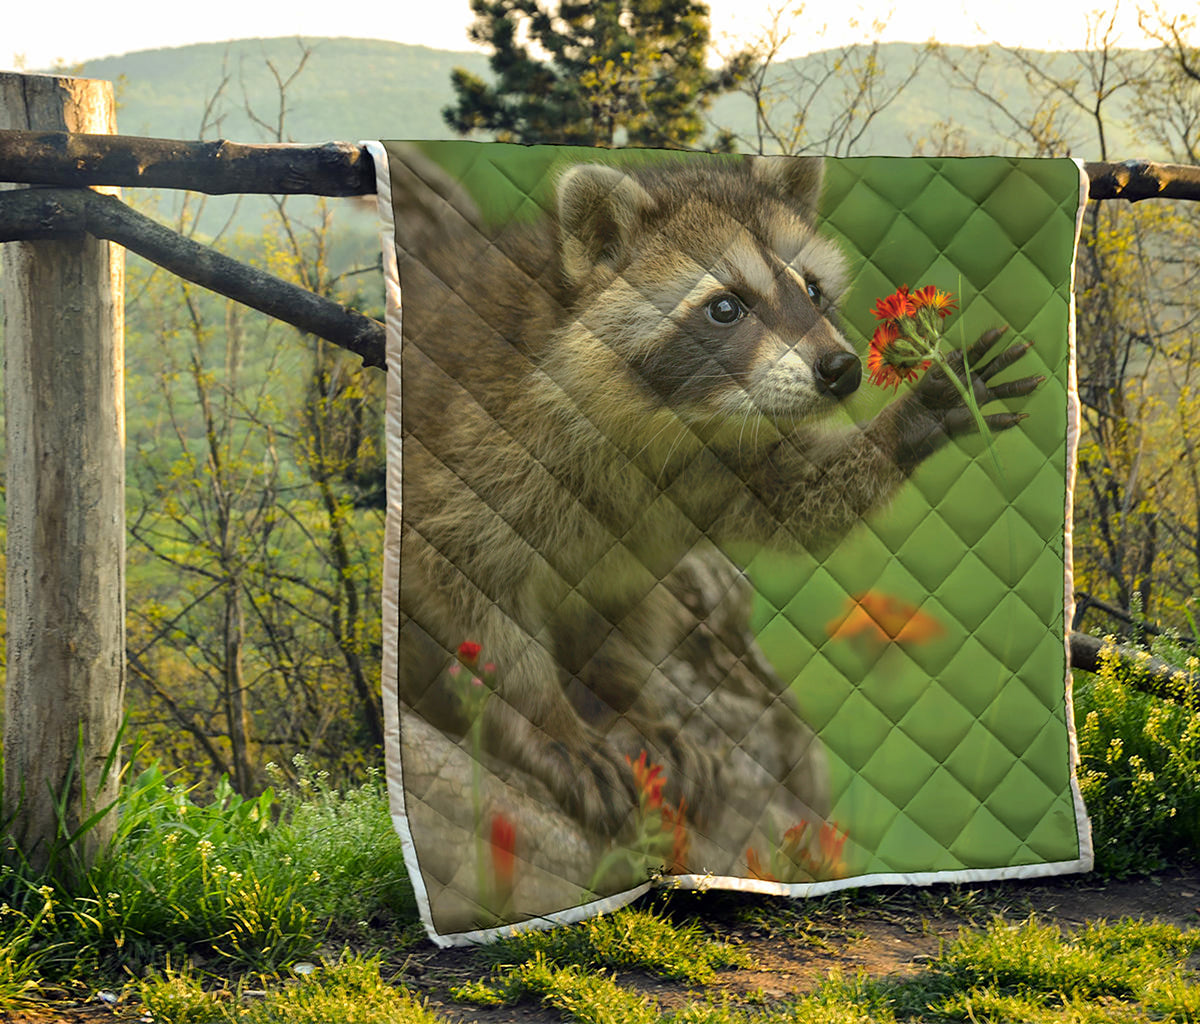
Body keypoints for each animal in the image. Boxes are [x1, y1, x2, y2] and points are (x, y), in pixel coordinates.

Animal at [392, 151, 1038, 837]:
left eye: (813, 289)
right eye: (726, 308)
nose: (842, 371)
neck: (671, 420)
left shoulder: (713, 466)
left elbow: (788, 499)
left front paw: (906, 423)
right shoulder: (473, 448)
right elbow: (469, 594)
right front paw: (546, 716)